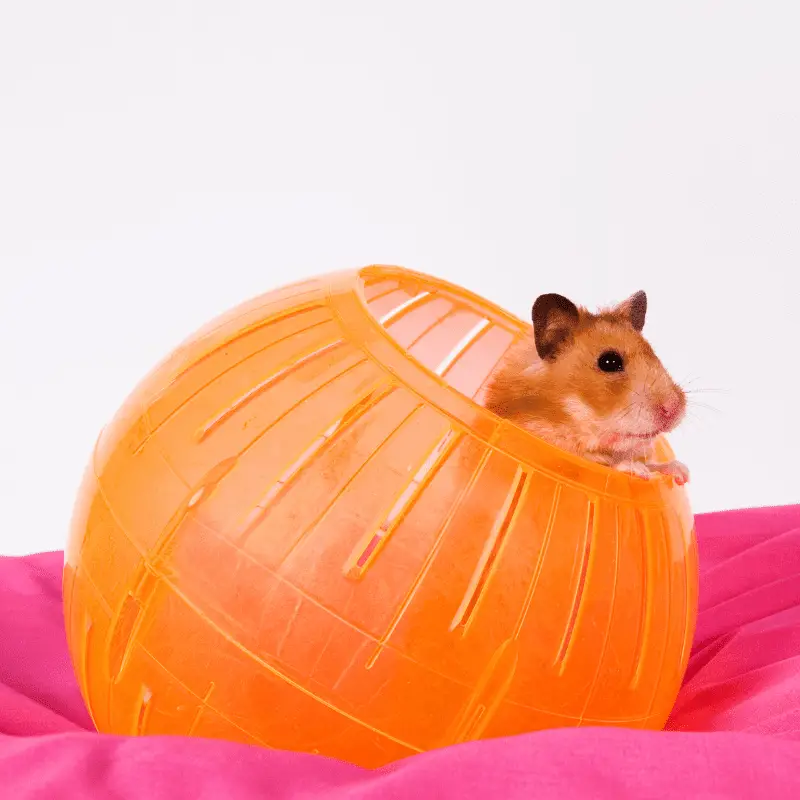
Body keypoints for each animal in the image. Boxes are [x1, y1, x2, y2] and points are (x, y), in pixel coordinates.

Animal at [482, 290, 688, 484]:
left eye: (653, 352)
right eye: (609, 362)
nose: (675, 409)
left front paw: (681, 472)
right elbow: (605, 464)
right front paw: (638, 471)